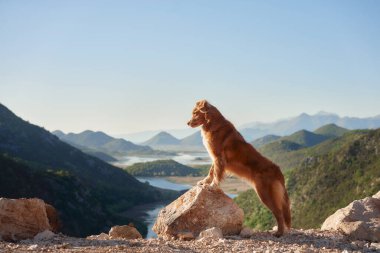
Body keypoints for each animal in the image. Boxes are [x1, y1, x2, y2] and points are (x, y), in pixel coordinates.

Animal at [187, 100, 290, 236]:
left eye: (195, 113)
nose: (187, 123)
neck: (212, 123)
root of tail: (278, 170)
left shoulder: (218, 157)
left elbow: (216, 173)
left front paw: (213, 186)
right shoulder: (215, 158)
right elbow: (211, 171)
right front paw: (205, 181)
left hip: (264, 194)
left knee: (279, 213)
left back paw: (279, 233)